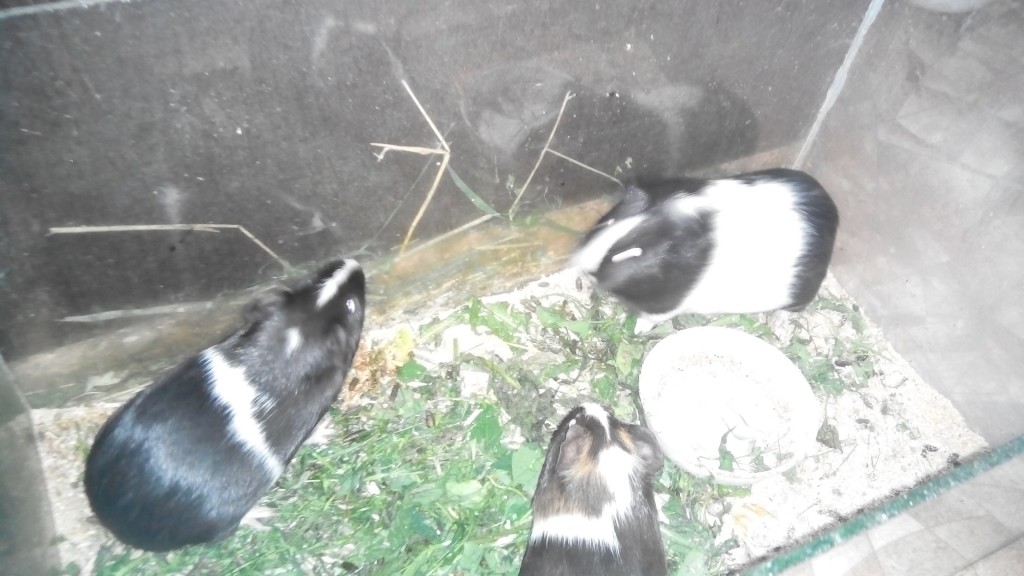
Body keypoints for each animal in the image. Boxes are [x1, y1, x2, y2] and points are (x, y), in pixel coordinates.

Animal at [84, 258, 366, 552]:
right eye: (351, 305)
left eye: (310, 281)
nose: (351, 262)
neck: (287, 345)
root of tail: (114, 520)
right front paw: (327, 430)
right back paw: (263, 514)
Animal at [571, 169, 839, 332]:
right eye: (608, 221)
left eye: (633, 254)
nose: (584, 267)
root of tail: (833, 215)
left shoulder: (665, 306)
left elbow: (649, 318)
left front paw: (637, 330)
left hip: (801, 294)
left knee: (790, 310)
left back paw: (777, 324)